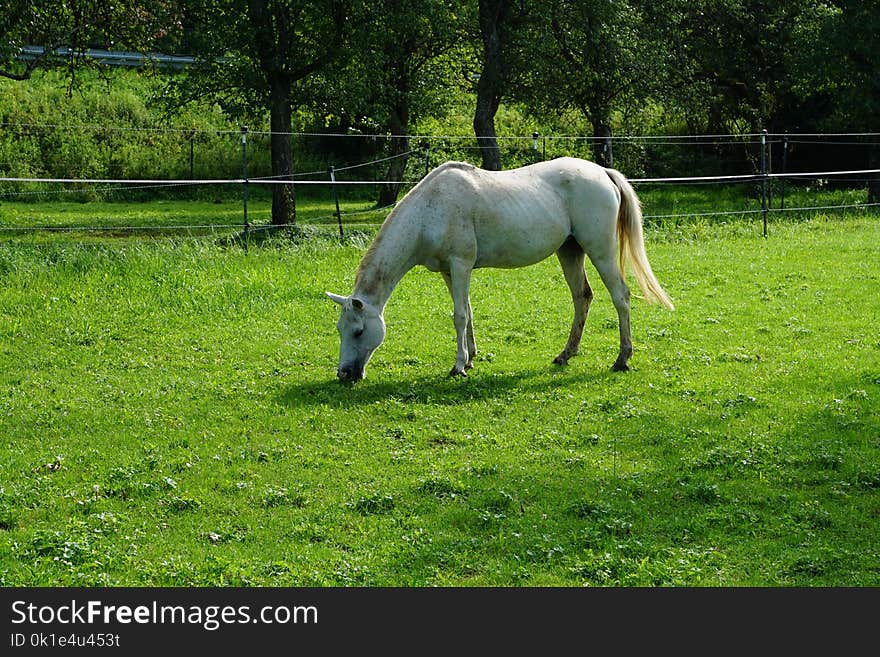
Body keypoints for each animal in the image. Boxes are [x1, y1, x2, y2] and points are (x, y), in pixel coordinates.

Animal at [326, 156, 672, 380]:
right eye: (341, 329)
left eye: (358, 331)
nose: (344, 374)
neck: (431, 209)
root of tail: (602, 171)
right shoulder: (449, 271)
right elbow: (466, 312)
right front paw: (471, 358)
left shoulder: (461, 265)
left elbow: (459, 315)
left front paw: (458, 366)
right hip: (570, 251)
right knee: (582, 297)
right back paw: (566, 354)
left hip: (600, 250)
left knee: (621, 296)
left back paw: (622, 359)